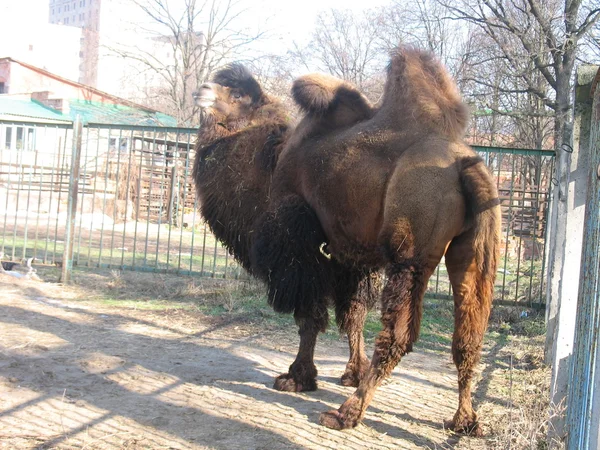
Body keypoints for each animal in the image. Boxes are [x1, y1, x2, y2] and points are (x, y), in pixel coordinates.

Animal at [192, 64, 380, 390]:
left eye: (237, 94)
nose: (202, 89)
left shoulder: (294, 254)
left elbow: (309, 316)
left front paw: (297, 376)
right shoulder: (349, 267)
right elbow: (353, 315)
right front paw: (355, 372)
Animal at [248, 46, 502, 436]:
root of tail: (466, 165)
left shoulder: (300, 233)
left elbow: (309, 313)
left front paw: (296, 378)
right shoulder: (349, 252)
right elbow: (349, 312)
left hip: (410, 252)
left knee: (398, 335)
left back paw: (346, 413)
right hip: (473, 254)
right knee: (468, 336)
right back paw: (464, 421)